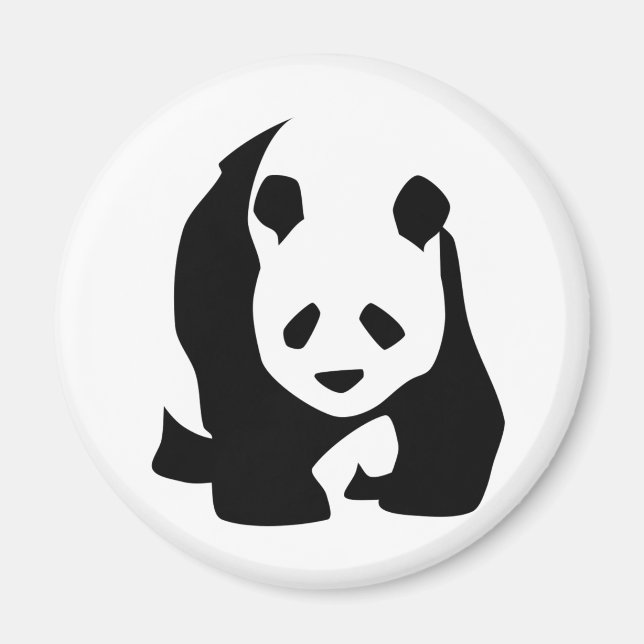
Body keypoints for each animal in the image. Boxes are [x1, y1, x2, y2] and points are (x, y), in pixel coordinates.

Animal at [152, 120, 505, 526]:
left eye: (381, 321)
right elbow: (258, 419)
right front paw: (277, 507)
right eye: (301, 323)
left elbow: (454, 406)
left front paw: (426, 500)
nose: (341, 378)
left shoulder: (447, 295)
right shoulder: (226, 284)